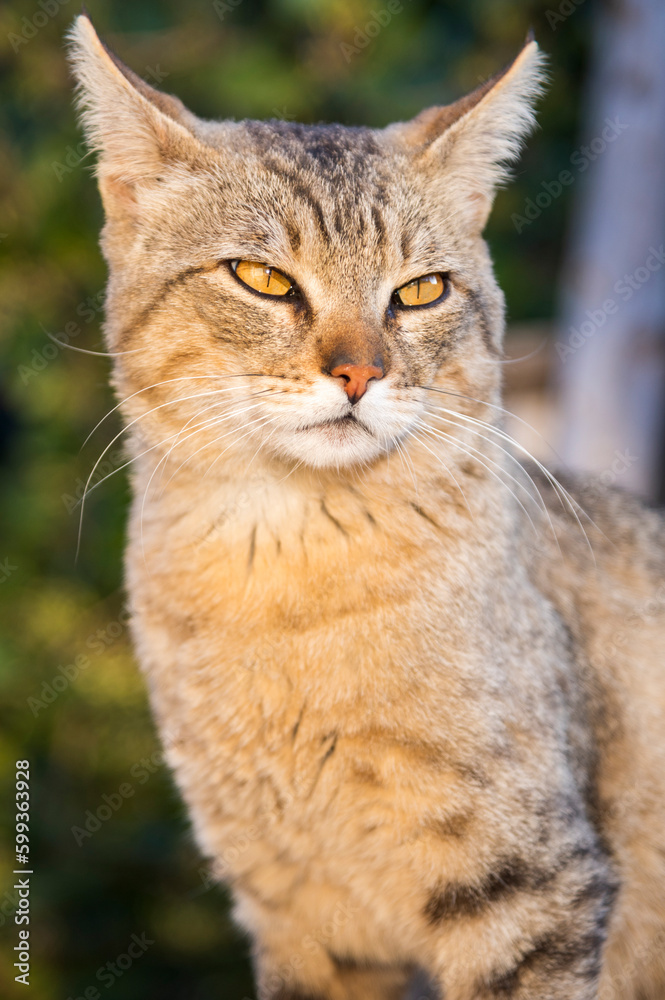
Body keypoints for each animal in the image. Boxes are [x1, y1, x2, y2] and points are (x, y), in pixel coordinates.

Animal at [67, 15, 664, 1000]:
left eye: (420, 290)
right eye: (261, 278)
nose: (359, 374)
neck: (285, 575)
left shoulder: (531, 890)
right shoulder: (300, 918)